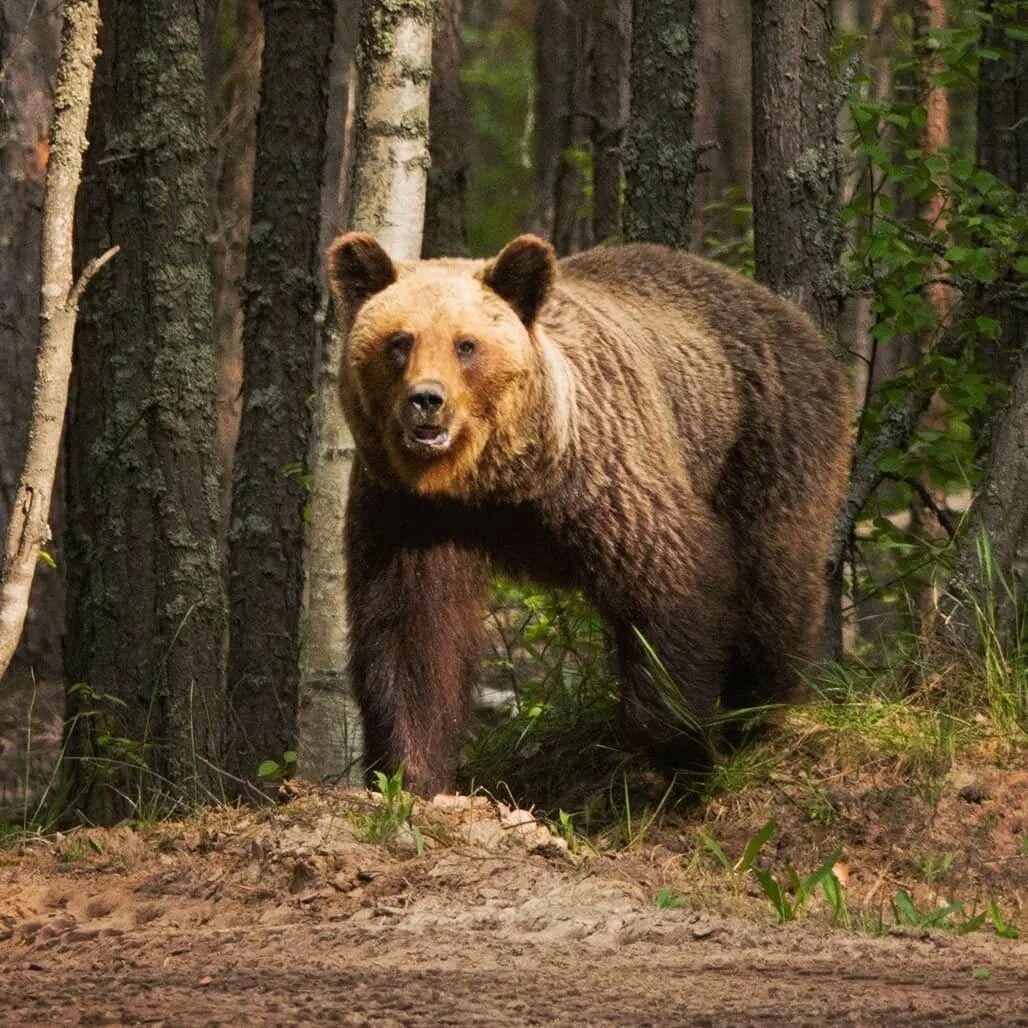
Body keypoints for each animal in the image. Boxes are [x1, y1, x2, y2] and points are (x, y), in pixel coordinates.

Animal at [326, 233, 851, 793]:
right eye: (399, 341)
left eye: (465, 344)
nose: (427, 400)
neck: (494, 483)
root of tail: (790, 314)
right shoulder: (409, 511)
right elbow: (411, 631)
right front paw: (411, 772)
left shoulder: (604, 476)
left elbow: (673, 579)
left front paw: (681, 749)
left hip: (768, 438)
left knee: (773, 578)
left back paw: (756, 710)